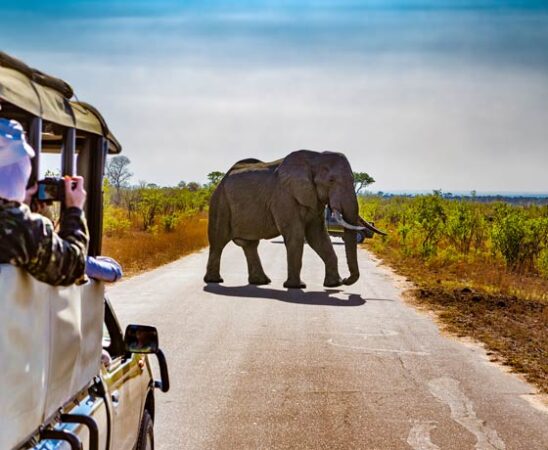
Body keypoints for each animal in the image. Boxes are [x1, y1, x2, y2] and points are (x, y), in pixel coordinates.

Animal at [204, 149, 386, 290]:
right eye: (331, 180)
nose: (347, 281)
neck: (315, 158)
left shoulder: (314, 201)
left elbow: (318, 237)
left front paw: (334, 285)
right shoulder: (284, 197)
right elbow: (296, 236)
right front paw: (297, 287)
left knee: (250, 245)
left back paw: (261, 282)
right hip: (220, 203)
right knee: (219, 241)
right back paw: (215, 281)